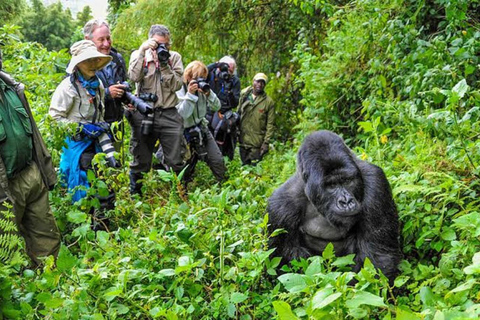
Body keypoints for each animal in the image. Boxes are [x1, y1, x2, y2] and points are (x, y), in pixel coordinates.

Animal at [266, 129, 402, 280]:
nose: (346, 202)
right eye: (331, 185)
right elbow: (283, 262)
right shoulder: (280, 208)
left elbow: (377, 258)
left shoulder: (376, 183)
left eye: (347, 181)